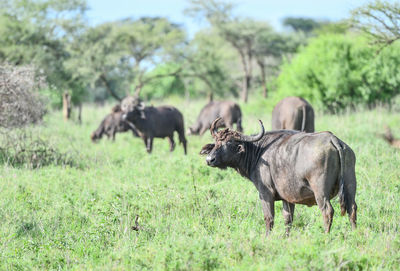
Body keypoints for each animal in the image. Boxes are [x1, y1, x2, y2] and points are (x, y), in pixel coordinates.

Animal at [202, 119, 358, 236]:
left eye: (229, 143)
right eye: (216, 142)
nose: (210, 159)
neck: (258, 152)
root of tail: (334, 140)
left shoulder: (265, 194)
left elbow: (269, 218)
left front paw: (267, 237)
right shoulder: (287, 198)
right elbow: (288, 219)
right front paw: (286, 237)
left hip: (320, 192)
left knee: (327, 211)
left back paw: (326, 235)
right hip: (350, 186)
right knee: (352, 208)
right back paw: (354, 234)